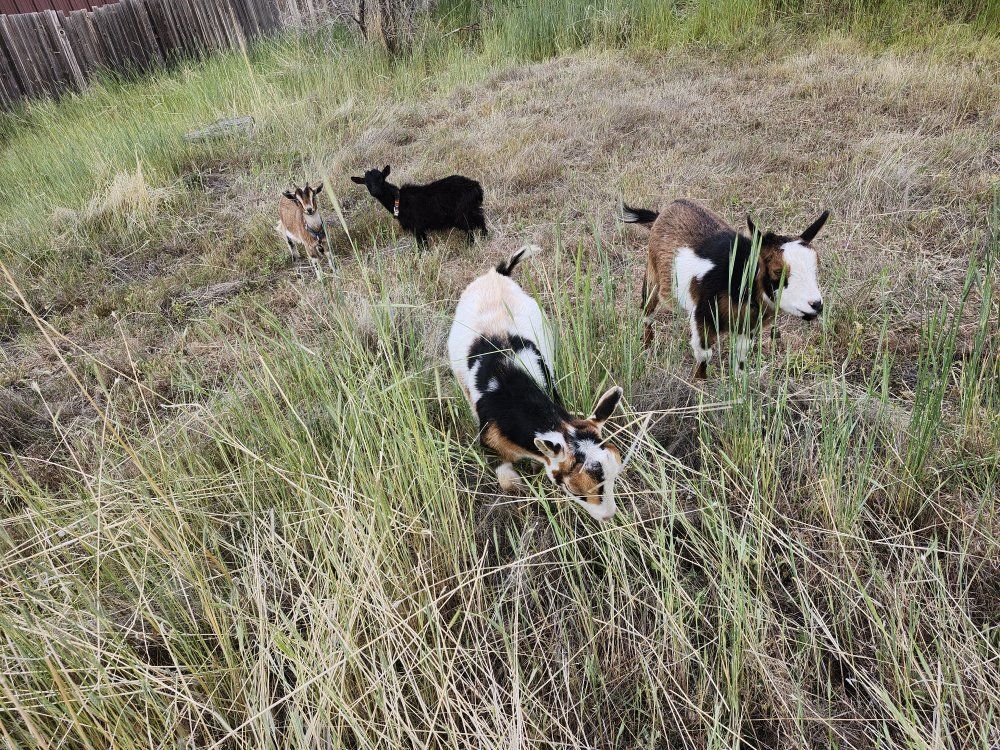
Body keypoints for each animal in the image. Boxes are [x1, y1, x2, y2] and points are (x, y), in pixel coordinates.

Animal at [351, 165, 486, 248]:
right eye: (366, 183)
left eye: (381, 178)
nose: (376, 191)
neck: (398, 200)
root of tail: (476, 187)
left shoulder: (418, 227)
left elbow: (423, 246)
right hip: (471, 210)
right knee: (479, 221)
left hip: (463, 213)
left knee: (474, 226)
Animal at [621, 199, 829, 378]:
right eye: (778, 270)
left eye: (816, 267)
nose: (816, 304)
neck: (738, 277)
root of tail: (666, 210)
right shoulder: (703, 317)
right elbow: (704, 355)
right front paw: (700, 385)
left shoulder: (748, 326)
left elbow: (741, 354)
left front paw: (739, 380)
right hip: (652, 275)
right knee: (647, 311)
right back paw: (647, 347)